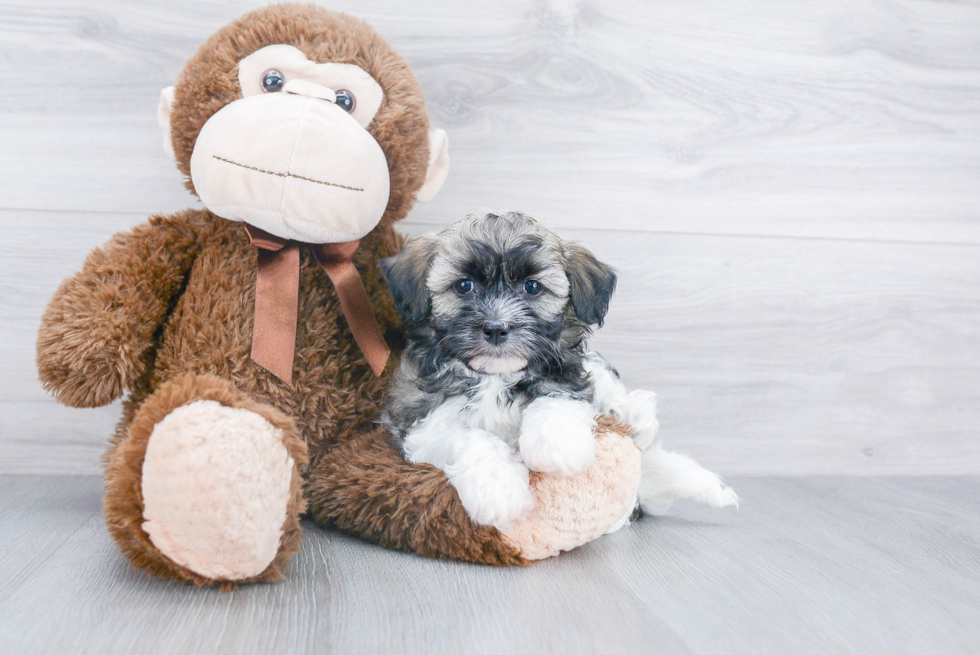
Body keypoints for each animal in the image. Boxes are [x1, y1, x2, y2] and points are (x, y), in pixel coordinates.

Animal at [378, 213, 732, 532]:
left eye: (532, 287)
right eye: (464, 286)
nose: (496, 328)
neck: (495, 377)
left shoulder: (564, 372)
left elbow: (557, 397)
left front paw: (558, 446)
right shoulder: (420, 424)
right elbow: (471, 435)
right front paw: (498, 489)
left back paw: (631, 412)